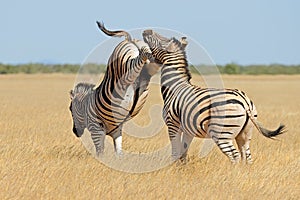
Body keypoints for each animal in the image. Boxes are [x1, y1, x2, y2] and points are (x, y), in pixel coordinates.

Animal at [69, 22, 158, 156]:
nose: (75, 132)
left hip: (125, 70)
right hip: (148, 71)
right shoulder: (117, 131)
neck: (84, 107)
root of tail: (129, 40)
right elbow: (118, 152)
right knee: (153, 61)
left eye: (70, 109)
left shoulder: (96, 129)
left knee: (138, 60)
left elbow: (100, 151)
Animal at [144, 30, 286, 164]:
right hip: (245, 133)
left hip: (222, 133)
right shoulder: (188, 130)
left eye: (162, 40)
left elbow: (175, 152)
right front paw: (181, 168)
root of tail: (244, 101)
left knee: (235, 155)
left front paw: (173, 169)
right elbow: (183, 152)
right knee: (246, 156)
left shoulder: (173, 124)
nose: (146, 31)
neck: (175, 87)